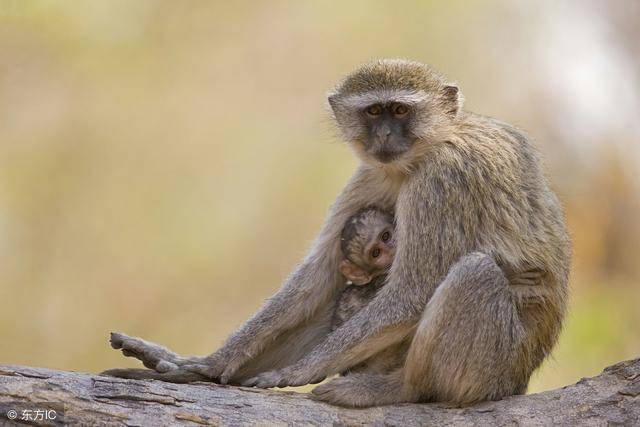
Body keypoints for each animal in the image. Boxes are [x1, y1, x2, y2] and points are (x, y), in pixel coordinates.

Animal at [107, 60, 572, 408]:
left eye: (400, 111)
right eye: (373, 112)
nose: (383, 135)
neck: (431, 147)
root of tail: (518, 382)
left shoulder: (443, 181)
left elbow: (414, 289)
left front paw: (297, 371)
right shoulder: (371, 174)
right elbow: (320, 275)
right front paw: (209, 363)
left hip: (494, 369)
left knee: (473, 273)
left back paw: (399, 389)